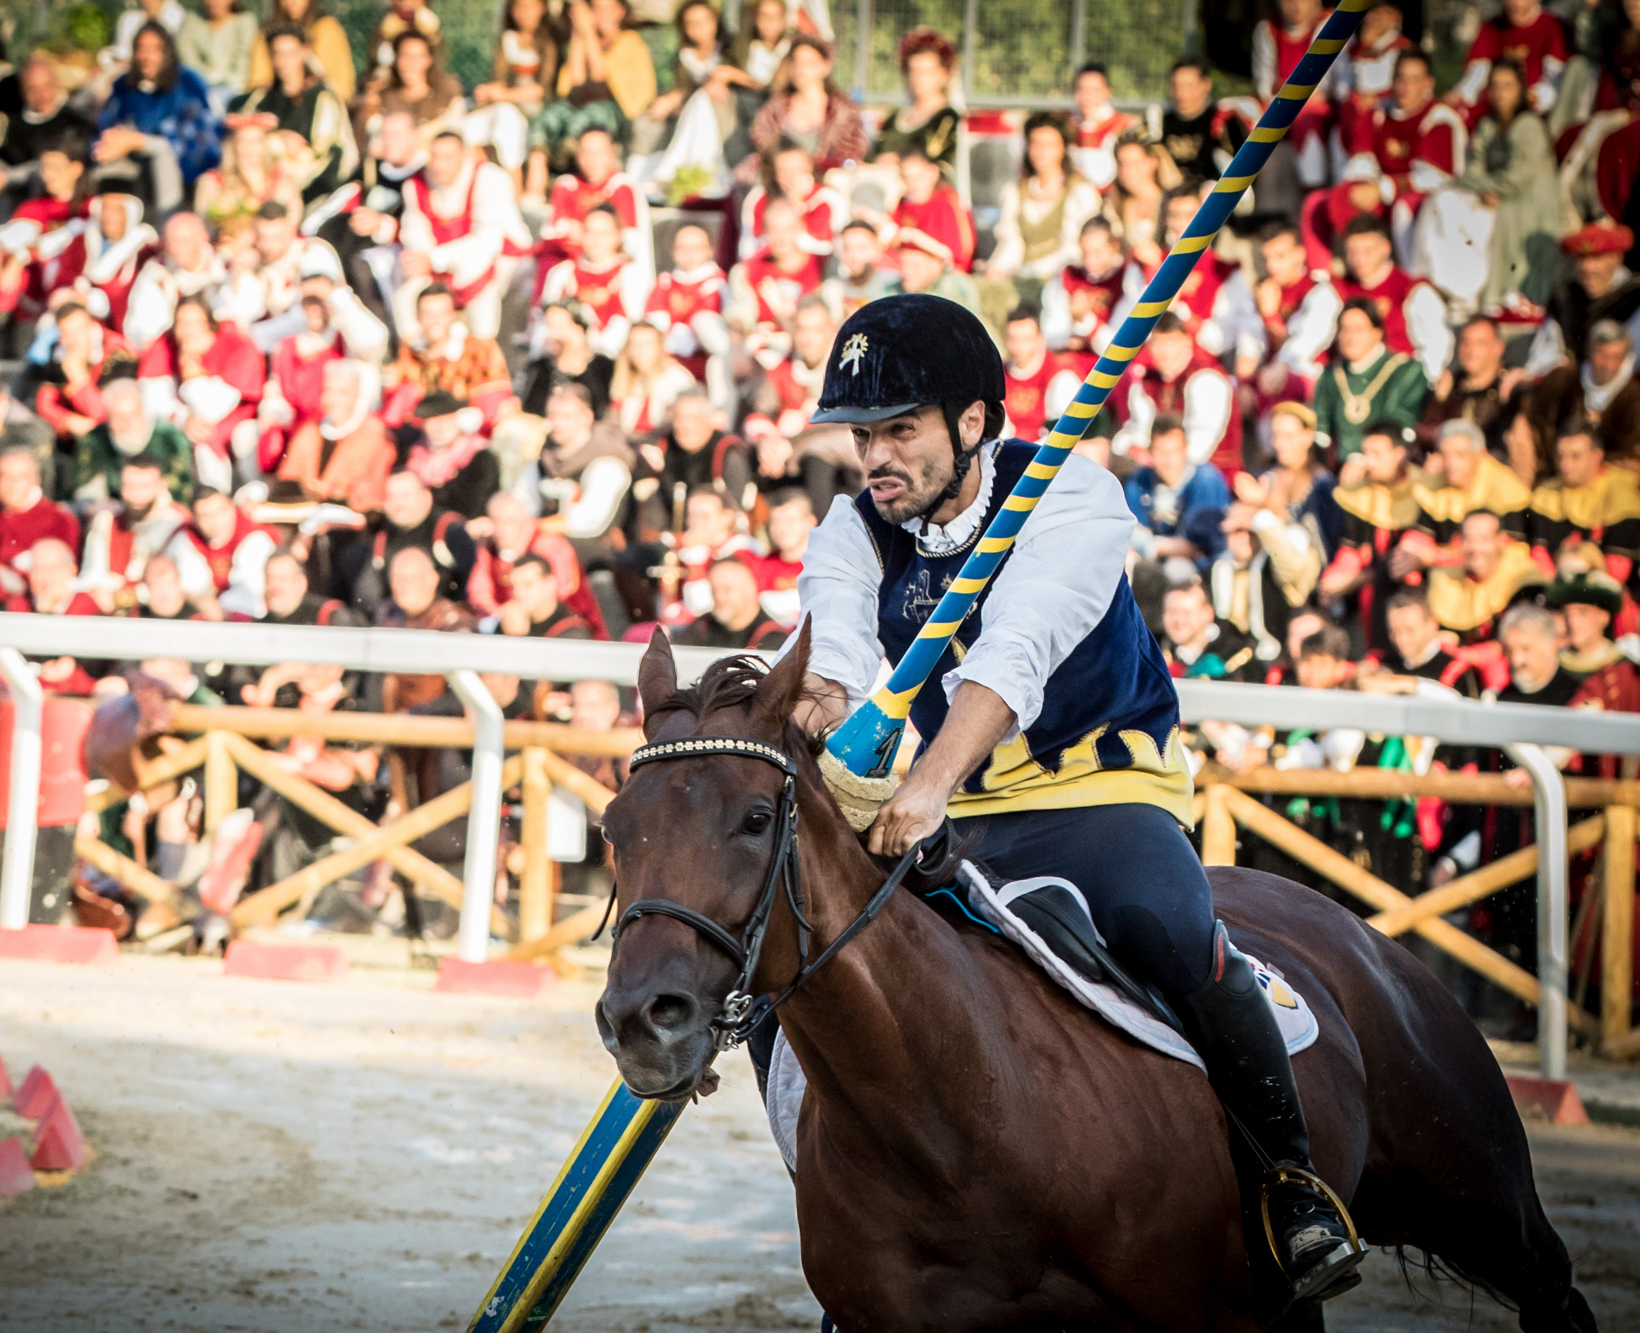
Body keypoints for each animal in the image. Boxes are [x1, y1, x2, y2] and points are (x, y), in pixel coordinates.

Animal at [596, 626, 1594, 1331]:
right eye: (615, 826)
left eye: (756, 818)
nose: (644, 1017)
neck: (959, 1113)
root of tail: (1357, 931)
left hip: (1478, 1192)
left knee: (1554, 1287)